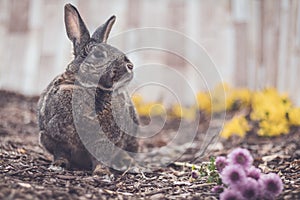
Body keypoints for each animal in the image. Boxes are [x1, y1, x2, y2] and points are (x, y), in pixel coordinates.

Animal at [37, 3, 139, 175]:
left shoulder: (104, 140)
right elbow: (61, 154)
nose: (130, 66)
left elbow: (101, 158)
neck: (87, 86)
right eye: (98, 54)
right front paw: (58, 165)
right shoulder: (55, 138)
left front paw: (102, 173)